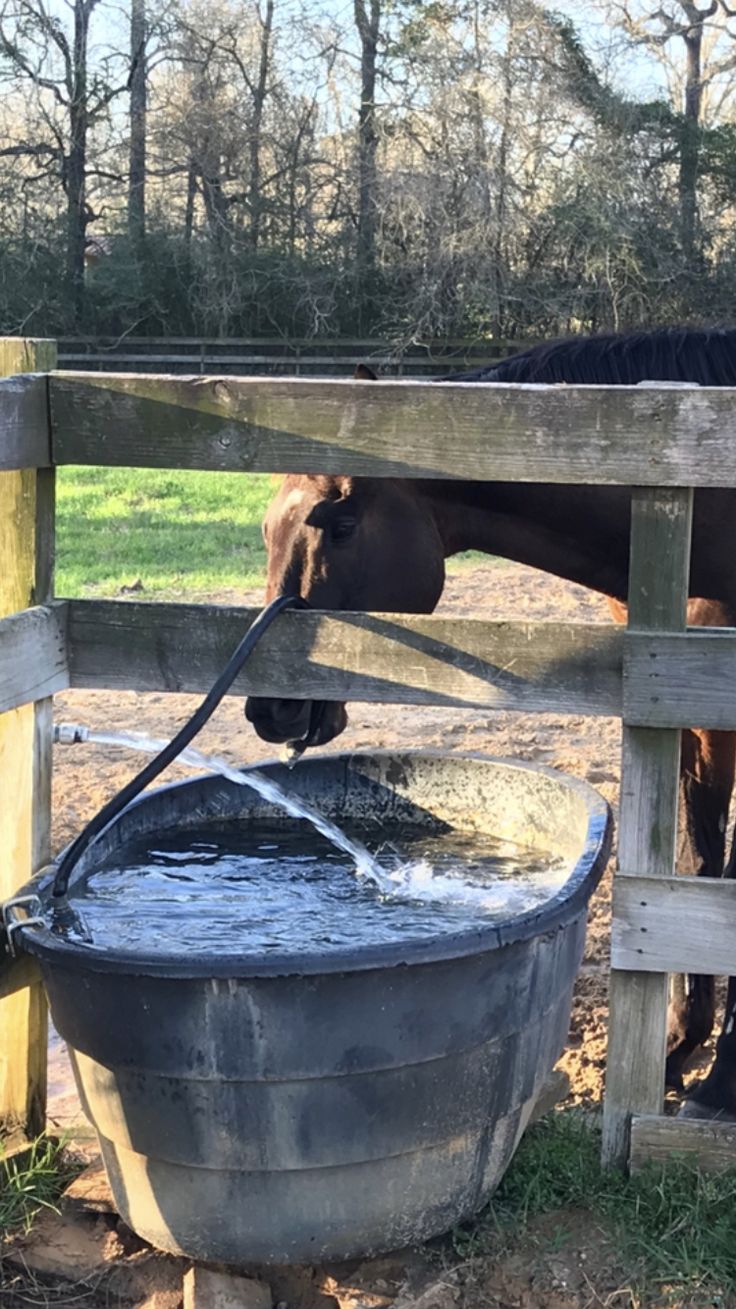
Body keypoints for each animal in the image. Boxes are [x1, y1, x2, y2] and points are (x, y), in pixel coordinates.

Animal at [243, 324, 733, 1115]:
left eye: (340, 522)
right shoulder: (684, 717)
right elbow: (697, 864)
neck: (702, 501)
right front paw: (678, 1050)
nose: (270, 705)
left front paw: (723, 1083)